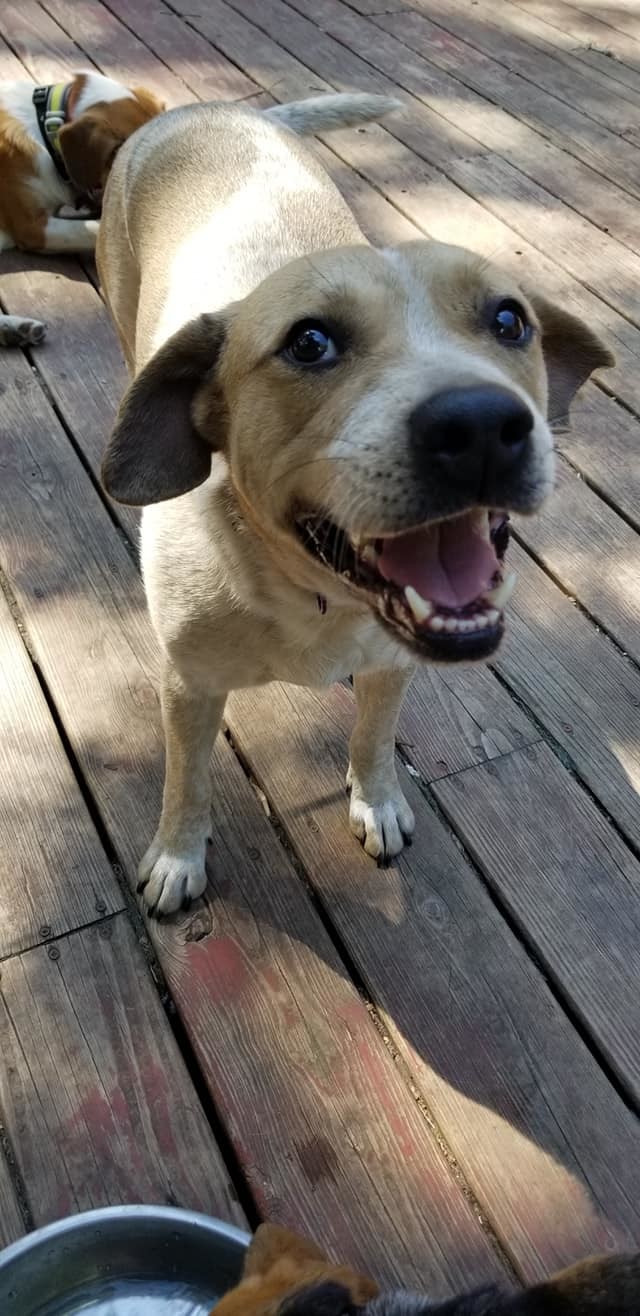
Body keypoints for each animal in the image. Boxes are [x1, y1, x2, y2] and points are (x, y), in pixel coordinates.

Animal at [97, 90, 613, 915]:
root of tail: (204, 107)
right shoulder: (188, 688)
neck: (314, 599)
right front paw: (178, 855)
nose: (480, 426)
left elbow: (373, 737)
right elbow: (188, 780)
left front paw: (377, 802)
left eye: (509, 321)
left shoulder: (391, 665)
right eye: (310, 343)